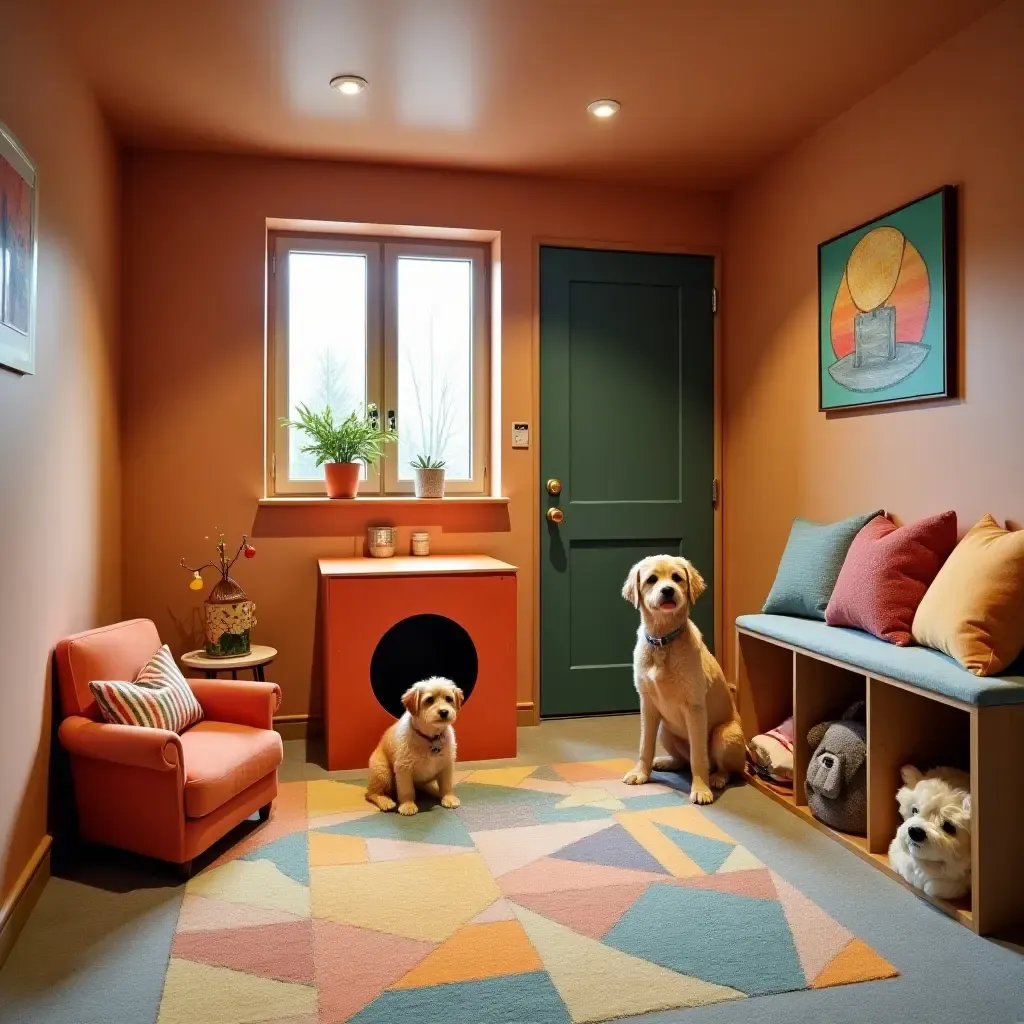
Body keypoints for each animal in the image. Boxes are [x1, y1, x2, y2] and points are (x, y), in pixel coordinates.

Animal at [366, 679, 462, 815]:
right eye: (429, 700)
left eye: (448, 698)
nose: (444, 712)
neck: (431, 737)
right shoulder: (403, 768)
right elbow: (407, 790)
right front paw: (407, 805)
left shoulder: (446, 765)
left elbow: (446, 785)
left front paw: (448, 797)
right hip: (382, 772)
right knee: (372, 793)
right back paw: (386, 802)